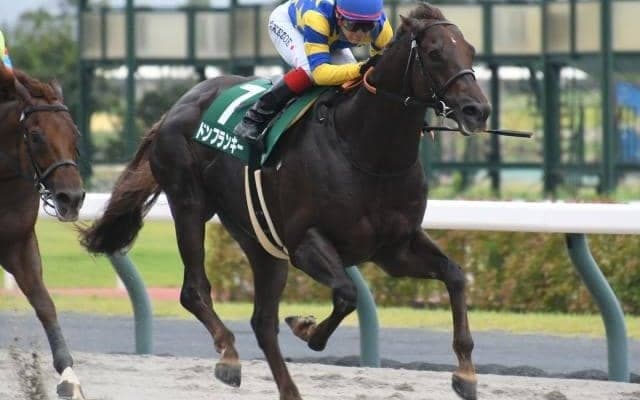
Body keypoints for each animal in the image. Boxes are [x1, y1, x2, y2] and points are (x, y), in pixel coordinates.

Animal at [0, 63, 86, 399]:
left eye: (75, 133)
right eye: (35, 136)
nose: (71, 198)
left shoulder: (18, 243)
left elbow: (45, 304)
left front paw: (69, 379)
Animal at [80, 4, 489, 400]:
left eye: (471, 50)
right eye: (435, 53)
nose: (478, 110)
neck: (366, 151)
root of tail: (176, 106)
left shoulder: (394, 248)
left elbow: (454, 275)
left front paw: (466, 374)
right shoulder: (304, 243)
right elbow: (347, 295)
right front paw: (305, 327)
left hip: (259, 239)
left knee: (262, 322)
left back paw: (287, 389)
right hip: (189, 205)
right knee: (194, 291)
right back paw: (228, 356)